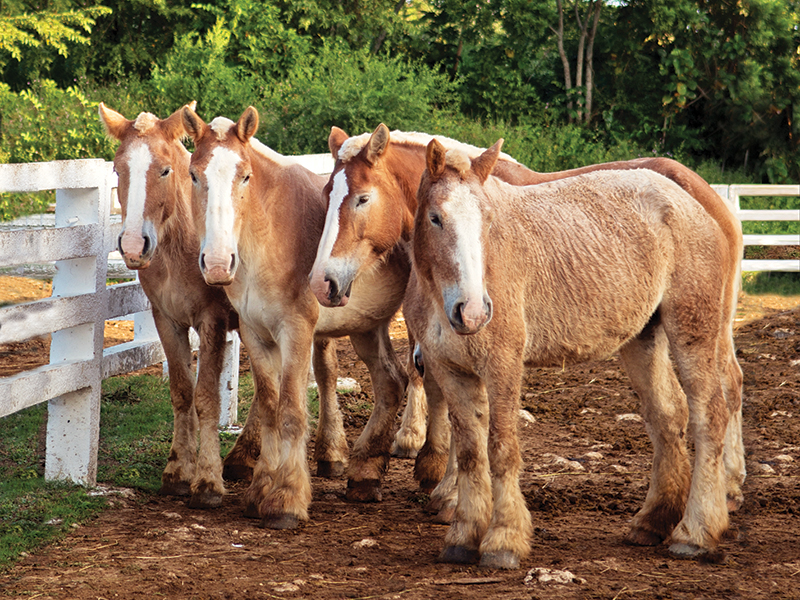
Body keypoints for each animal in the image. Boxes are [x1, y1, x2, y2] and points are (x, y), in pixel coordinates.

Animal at [99, 102, 244, 508]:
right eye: (118, 169)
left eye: (165, 169)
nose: (134, 246)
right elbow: (182, 392)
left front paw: (207, 481)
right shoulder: (166, 319)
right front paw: (179, 471)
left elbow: (207, 397)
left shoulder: (213, 321)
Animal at [181, 105, 417, 526]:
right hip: (367, 326)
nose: (218, 263)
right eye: (194, 174)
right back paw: (365, 476)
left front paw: (287, 498)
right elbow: (270, 407)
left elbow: (291, 409)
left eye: (245, 176)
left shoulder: (296, 331)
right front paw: (261, 490)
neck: (266, 239)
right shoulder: (255, 334)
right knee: (392, 381)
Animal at [307, 123, 745, 517]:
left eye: (363, 198)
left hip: (708, 323)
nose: (324, 281)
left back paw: (726, 487)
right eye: (327, 194)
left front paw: (444, 486)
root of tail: (708, 196)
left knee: (726, 387)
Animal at [403, 138, 744, 569]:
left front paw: (504, 540)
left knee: (709, 413)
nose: (474, 311)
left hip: (693, 332)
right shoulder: (450, 369)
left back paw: (696, 532)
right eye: (435, 218)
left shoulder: (502, 365)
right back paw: (652, 522)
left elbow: (501, 447)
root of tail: (696, 201)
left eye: (489, 219)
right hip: (642, 340)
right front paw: (463, 536)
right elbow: (468, 452)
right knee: (667, 417)